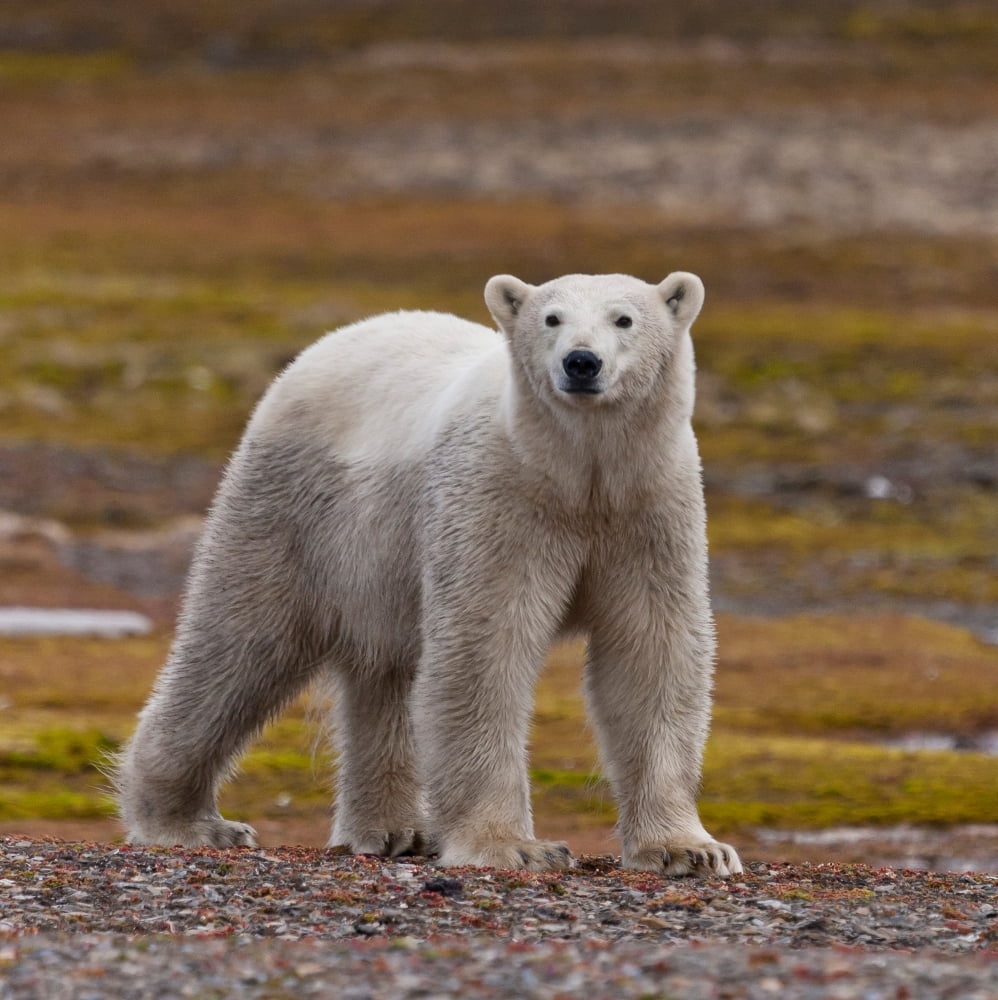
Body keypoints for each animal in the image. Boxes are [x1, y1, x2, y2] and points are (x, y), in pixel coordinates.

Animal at [116, 271, 742, 877]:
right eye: (551, 317)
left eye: (624, 318)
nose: (581, 362)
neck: (578, 474)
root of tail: (323, 347)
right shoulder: (496, 501)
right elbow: (483, 650)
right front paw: (516, 848)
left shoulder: (648, 512)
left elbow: (650, 654)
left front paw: (692, 850)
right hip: (295, 508)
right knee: (242, 641)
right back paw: (190, 822)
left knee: (381, 670)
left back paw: (391, 830)